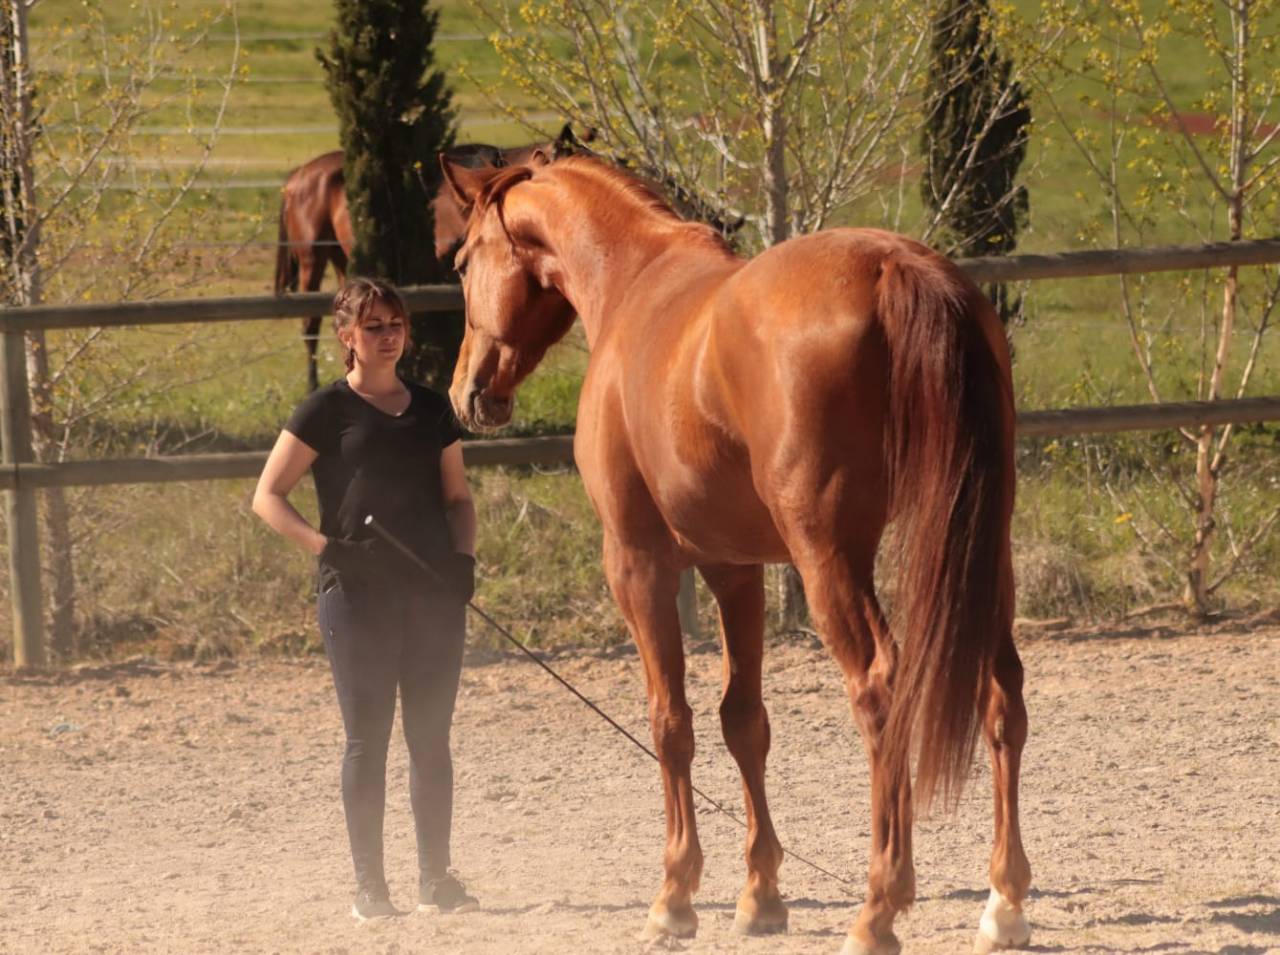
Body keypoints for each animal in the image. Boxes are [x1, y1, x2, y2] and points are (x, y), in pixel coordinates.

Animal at [440, 152, 1030, 955]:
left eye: (464, 262)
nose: (465, 392)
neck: (635, 280)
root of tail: (894, 266)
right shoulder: (735, 568)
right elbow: (743, 721)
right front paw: (761, 894)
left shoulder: (639, 565)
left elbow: (671, 721)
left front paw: (674, 895)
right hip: (982, 545)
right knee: (1002, 691)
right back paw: (1004, 901)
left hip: (830, 559)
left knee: (880, 691)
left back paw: (879, 906)